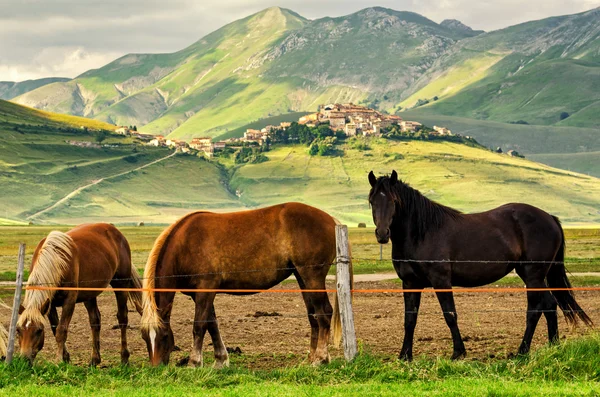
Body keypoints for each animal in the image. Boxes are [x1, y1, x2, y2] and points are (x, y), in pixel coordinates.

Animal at [17, 223, 144, 366]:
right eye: (18, 330)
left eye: (39, 330)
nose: (24, 360)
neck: (57, 261)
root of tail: (114, 229)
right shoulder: (49, 304)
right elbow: (55, 328)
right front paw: (65, 357)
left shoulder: (69, 301)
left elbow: (61, 330)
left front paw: (59, 360)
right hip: (89, 294)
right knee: (95, 321)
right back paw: (94, 360)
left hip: (121, 284)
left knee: (122, 318)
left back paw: (124, 358)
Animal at [141, 203, 346, 366]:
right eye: (144, 337)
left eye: (164, 335)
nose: (156, 367)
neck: (185, 244)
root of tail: (331, 220)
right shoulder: (201, 294)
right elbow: (212, 324)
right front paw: (221, 360)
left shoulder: (206, 290)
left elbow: (199, 326)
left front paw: (194, 362)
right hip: (302, 278)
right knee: (313, 316)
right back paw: (312, 358)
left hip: (312, 277)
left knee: (324, 313)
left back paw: (320, 359)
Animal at [368, 169, 592, 358]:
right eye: (372, 201)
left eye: (394, 201)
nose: (382, 234)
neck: (422, 233)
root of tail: (550, 218)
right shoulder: (410, 283)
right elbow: (410, 319)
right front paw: (405, 356)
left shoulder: (441, 281)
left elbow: (450, 315)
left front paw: (458, 353)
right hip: (532, 275)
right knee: (550, 304)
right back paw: (553, 346)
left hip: (533, 275)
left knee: (535, 309)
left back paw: (522, 351)